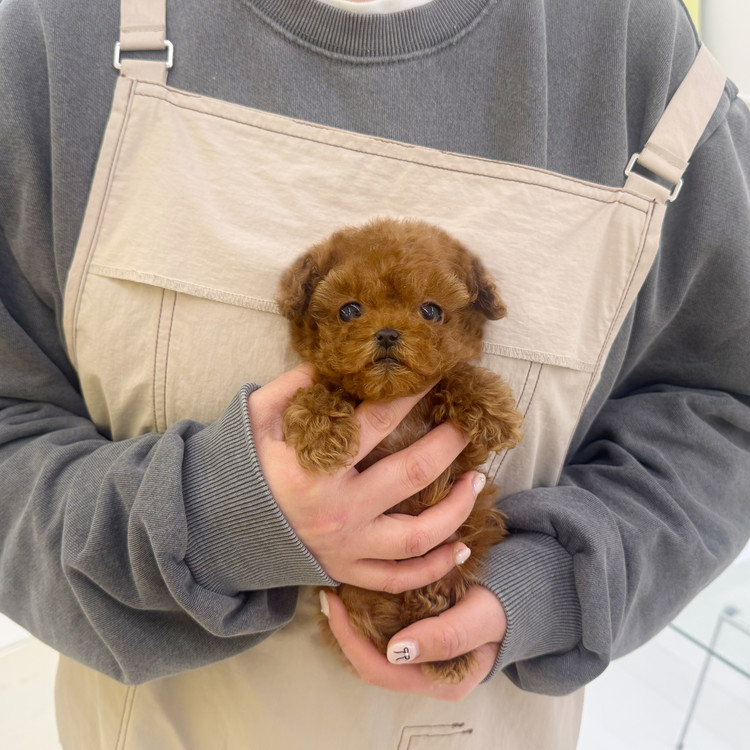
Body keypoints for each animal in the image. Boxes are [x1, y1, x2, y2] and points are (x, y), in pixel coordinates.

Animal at [276, 218, 523, 683]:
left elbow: (453, 375)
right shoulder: (326, 382)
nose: (388, 333)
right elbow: (319, 391)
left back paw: (445, 645)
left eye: (431, 311)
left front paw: (493, 410)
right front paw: (322, 434)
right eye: (349, 310)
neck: (390, 396)